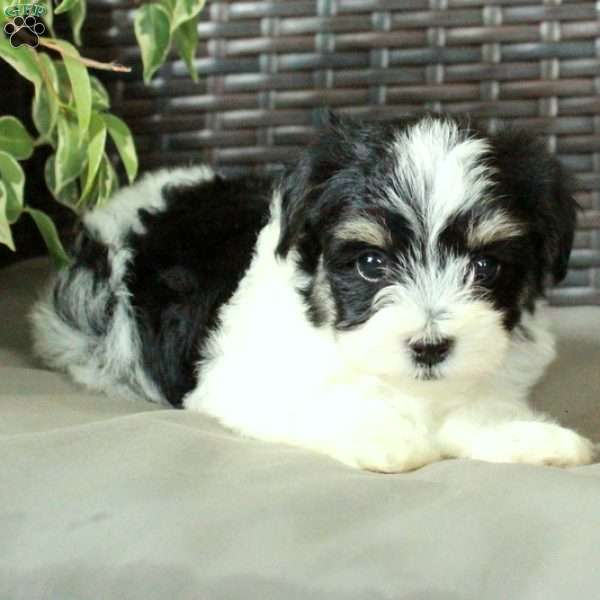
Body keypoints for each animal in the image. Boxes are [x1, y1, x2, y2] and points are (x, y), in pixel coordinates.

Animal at [31, 111, 596, 468]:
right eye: (370, 264)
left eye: (484, 266)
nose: (430, 347)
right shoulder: (242, 380)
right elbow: (317, 402)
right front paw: (387, 436)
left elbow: (476, 411)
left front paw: (534, 438)